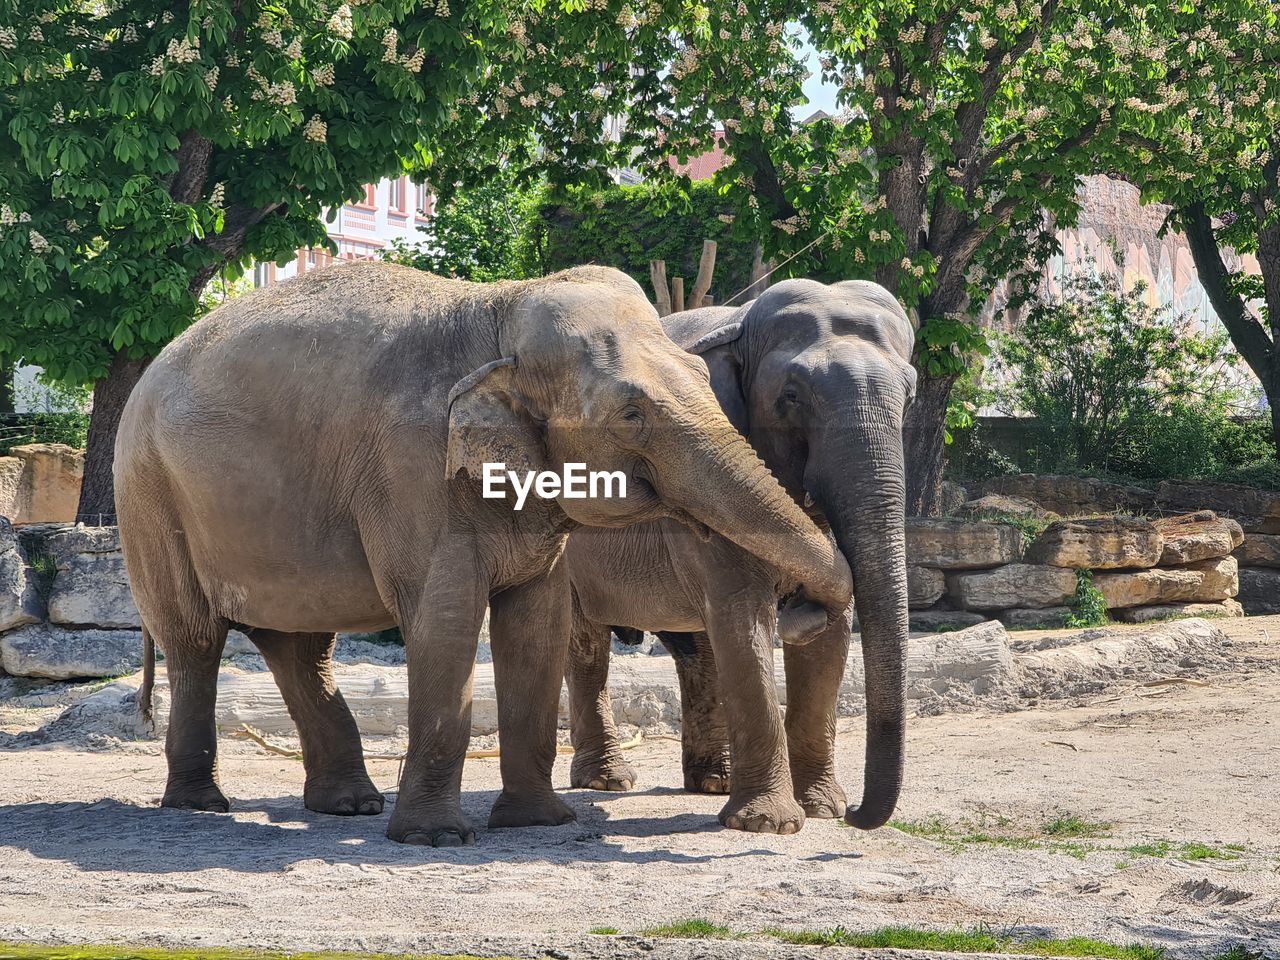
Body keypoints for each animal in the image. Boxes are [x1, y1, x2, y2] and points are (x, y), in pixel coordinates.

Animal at [112, 259, 849, 844]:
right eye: (631, 414)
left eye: (702, 372)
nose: (803, 605)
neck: (498, 311)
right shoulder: (412, 471)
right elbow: (446, 619)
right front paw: (437, 840)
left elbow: (537, 622)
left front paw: (537, 822)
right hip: (149, 495)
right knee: (196, 639)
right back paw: (201, 804)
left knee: (298, 645)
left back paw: (348, 805)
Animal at [565, 276, 916, 834]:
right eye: (790, 397)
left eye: (911, 395)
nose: (858, 815)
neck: (741, 325)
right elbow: (743, 614)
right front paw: (770, 824)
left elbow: (832, 636)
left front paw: (822, 809)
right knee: (585, 644)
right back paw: (608, 781)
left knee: (697, 649)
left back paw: (714, 781)